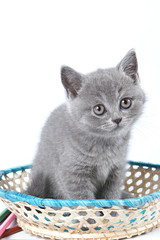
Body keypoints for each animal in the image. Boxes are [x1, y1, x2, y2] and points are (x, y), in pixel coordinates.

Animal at [26, 49, 146, 200]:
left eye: (125, 102)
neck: (106, 146)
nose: (117, 119)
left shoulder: (116, 170)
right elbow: (84, 200)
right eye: (99, 109)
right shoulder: (72, 175)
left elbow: (111, 196)